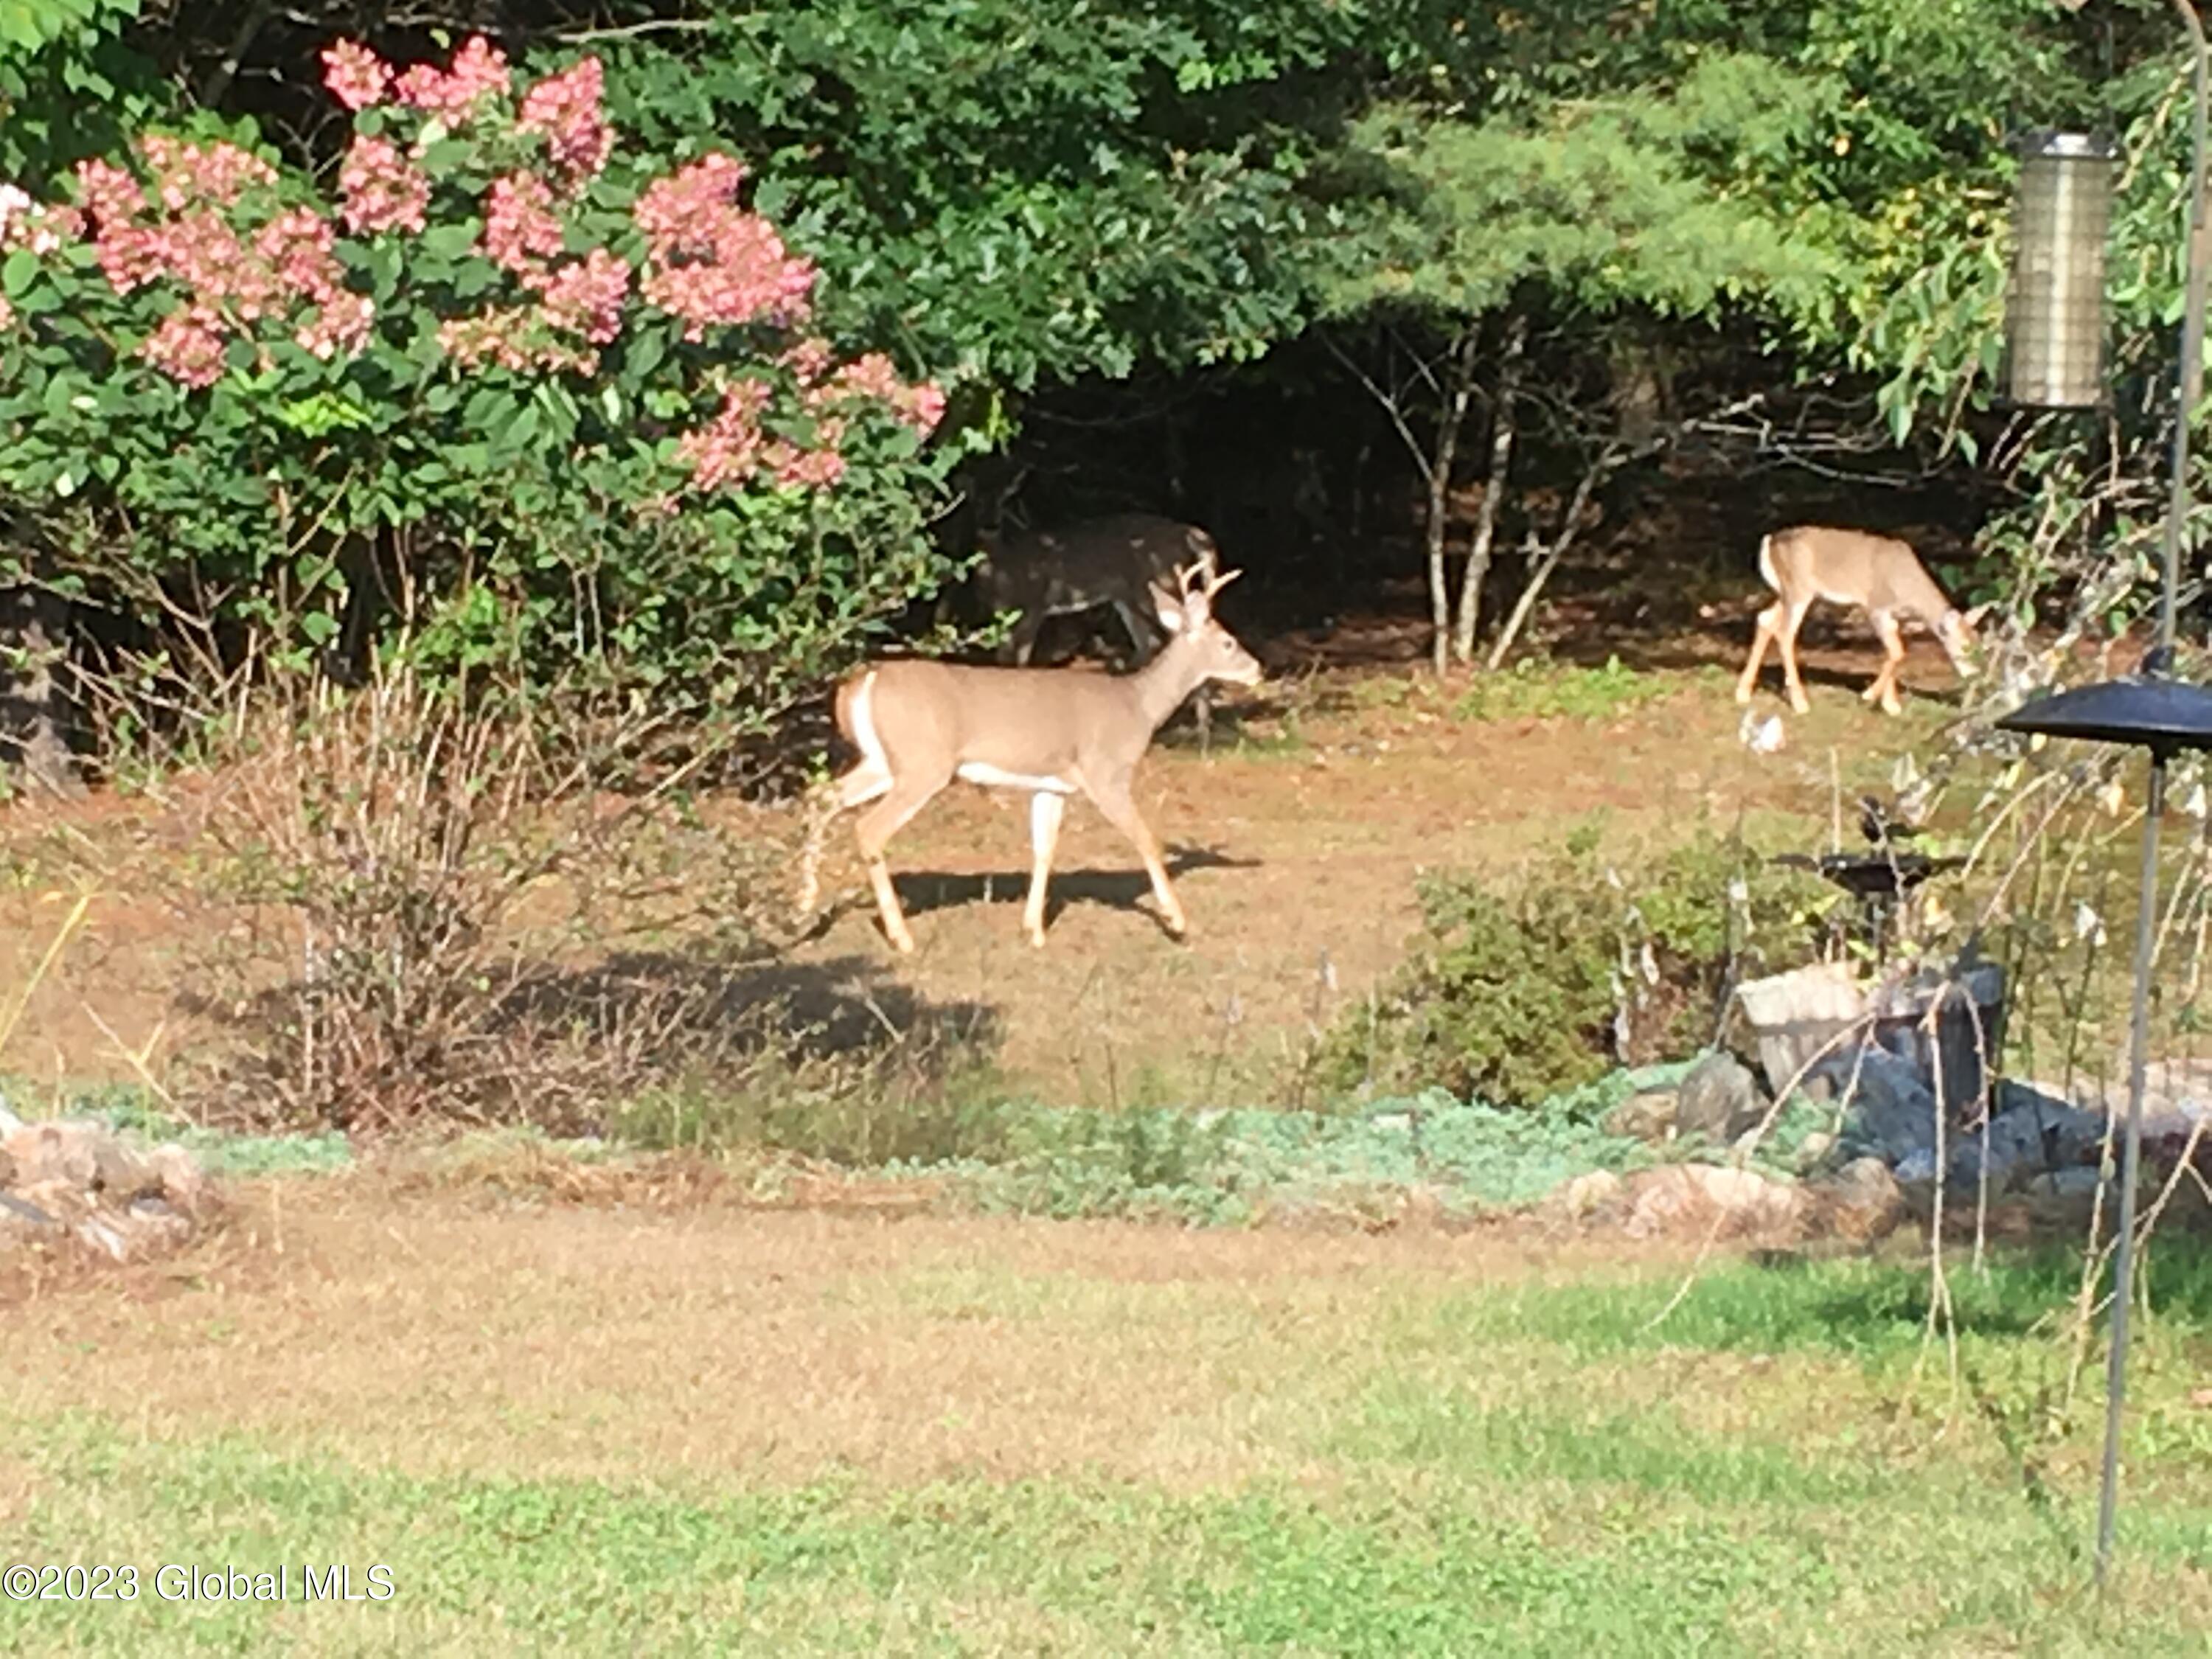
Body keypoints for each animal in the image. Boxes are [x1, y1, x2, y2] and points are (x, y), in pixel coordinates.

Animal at [797, 562, 1262, 953]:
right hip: (923, 763)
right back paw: (901, 937)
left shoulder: (1052, 785)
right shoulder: (1106, 772)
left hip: (882, 762)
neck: (1138, 708)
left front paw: (1033, 931)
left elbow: (1044, 849)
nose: (1259, 670)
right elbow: (1146, 838)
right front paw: (1178, 921)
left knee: (820, 797)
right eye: (1228, 641)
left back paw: (802, 910)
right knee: (868, 828)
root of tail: (864, 681)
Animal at [1734, 526, 1987, 717]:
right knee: (1785, 633)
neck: (1909, 589)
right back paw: (1800, 703)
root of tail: (1769, 542)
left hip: (1787, 592)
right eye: (1964, 648)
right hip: (1798, 588)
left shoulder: (1894, 618)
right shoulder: (1876, 606)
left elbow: (1894, 651)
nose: (1977, 676)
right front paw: (1871, 696)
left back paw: (1743, 692)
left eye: (1981, 645)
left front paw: (1890, 705)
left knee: (1765, 619)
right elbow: (1897, 651)